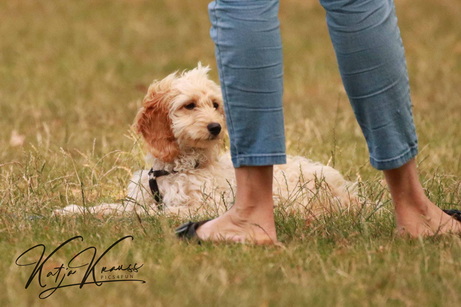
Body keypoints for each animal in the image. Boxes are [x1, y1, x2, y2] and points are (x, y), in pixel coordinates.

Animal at [56, 64, 360, 219]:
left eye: (215, 105)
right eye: (189, 105)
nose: (216, 127)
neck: (174, 169)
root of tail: (351, 193)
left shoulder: (203, 206)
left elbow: (158, 214)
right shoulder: (137, 199)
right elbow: (109, 208)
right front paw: (71, 211)